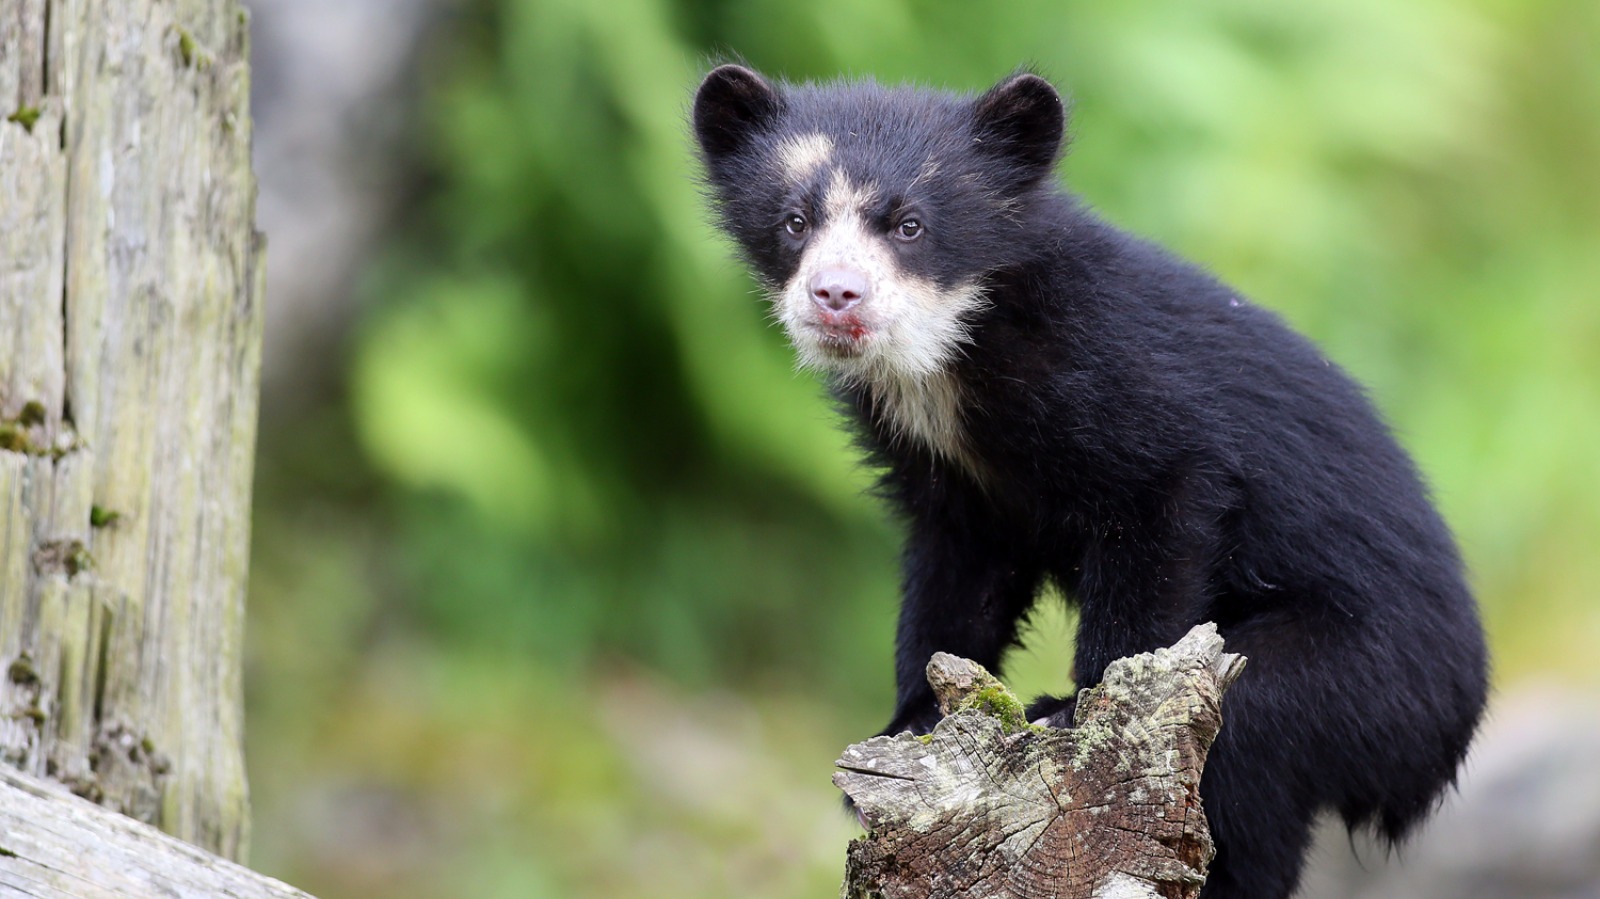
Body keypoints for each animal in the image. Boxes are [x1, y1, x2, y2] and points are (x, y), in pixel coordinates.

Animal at [691, 64, 1488, 899]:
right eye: (794, 220)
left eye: (909, 224)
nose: (835, 295)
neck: (949, 362)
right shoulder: (951, 483)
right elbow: (956, 579)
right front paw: (909, 729)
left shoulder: (1118, 388)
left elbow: (1162, 506)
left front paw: (1071, 713)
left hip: (1360, 680)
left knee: (1252, 760)